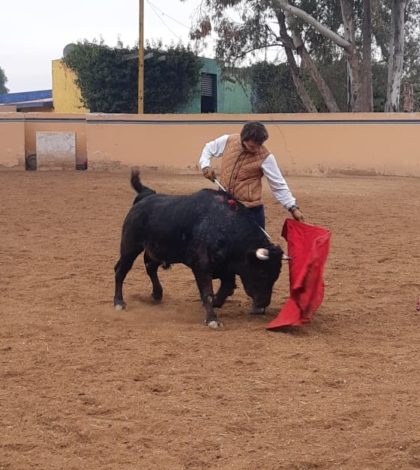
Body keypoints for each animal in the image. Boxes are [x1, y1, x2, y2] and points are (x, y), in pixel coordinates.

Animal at [114, 171, 286, 328]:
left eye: (276, 276)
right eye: (262, 272)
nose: (263, 303)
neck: (226, 227)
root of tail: (146, 196)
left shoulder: (226, 269)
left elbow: (227, 288)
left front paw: (215, 304)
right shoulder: (202, 267)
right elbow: (207, 292)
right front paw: (212, 319)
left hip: (157, 250)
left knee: (150, 267)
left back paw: (157, 294)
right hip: (130, 246)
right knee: (121, 270)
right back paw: (119, 302)